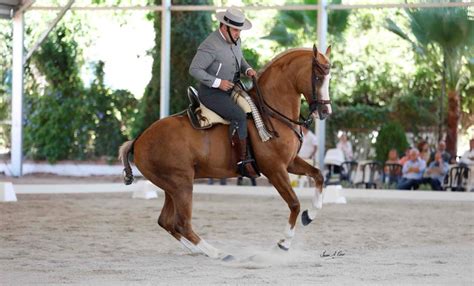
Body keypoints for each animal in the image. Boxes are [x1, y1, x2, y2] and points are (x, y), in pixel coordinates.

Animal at [118, 45, 334, 260]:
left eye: (329, 77)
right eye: (317, 77)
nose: (325, 112)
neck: (270, 113)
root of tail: (139, 140)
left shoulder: (290, 163)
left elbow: (319, 175)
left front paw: (310, 215)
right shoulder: (274, 169)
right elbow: (294, 203)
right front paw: (284, 243)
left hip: (171, 188)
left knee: (166, 221)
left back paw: (197, 250)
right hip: (181, 185)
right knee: (181, 223)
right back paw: (217, 253)